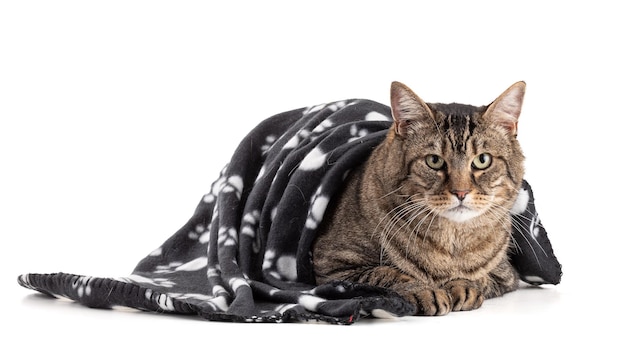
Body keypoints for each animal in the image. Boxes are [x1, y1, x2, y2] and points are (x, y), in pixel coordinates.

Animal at [310, 80, 524, 314]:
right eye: (434, 161)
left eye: (482, 160)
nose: (461, 192)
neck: (451, 242)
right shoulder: (332, 267)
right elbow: (385, 273)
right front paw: (423, 290)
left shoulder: (506, 275)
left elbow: (479, 278)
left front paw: (462, 284)